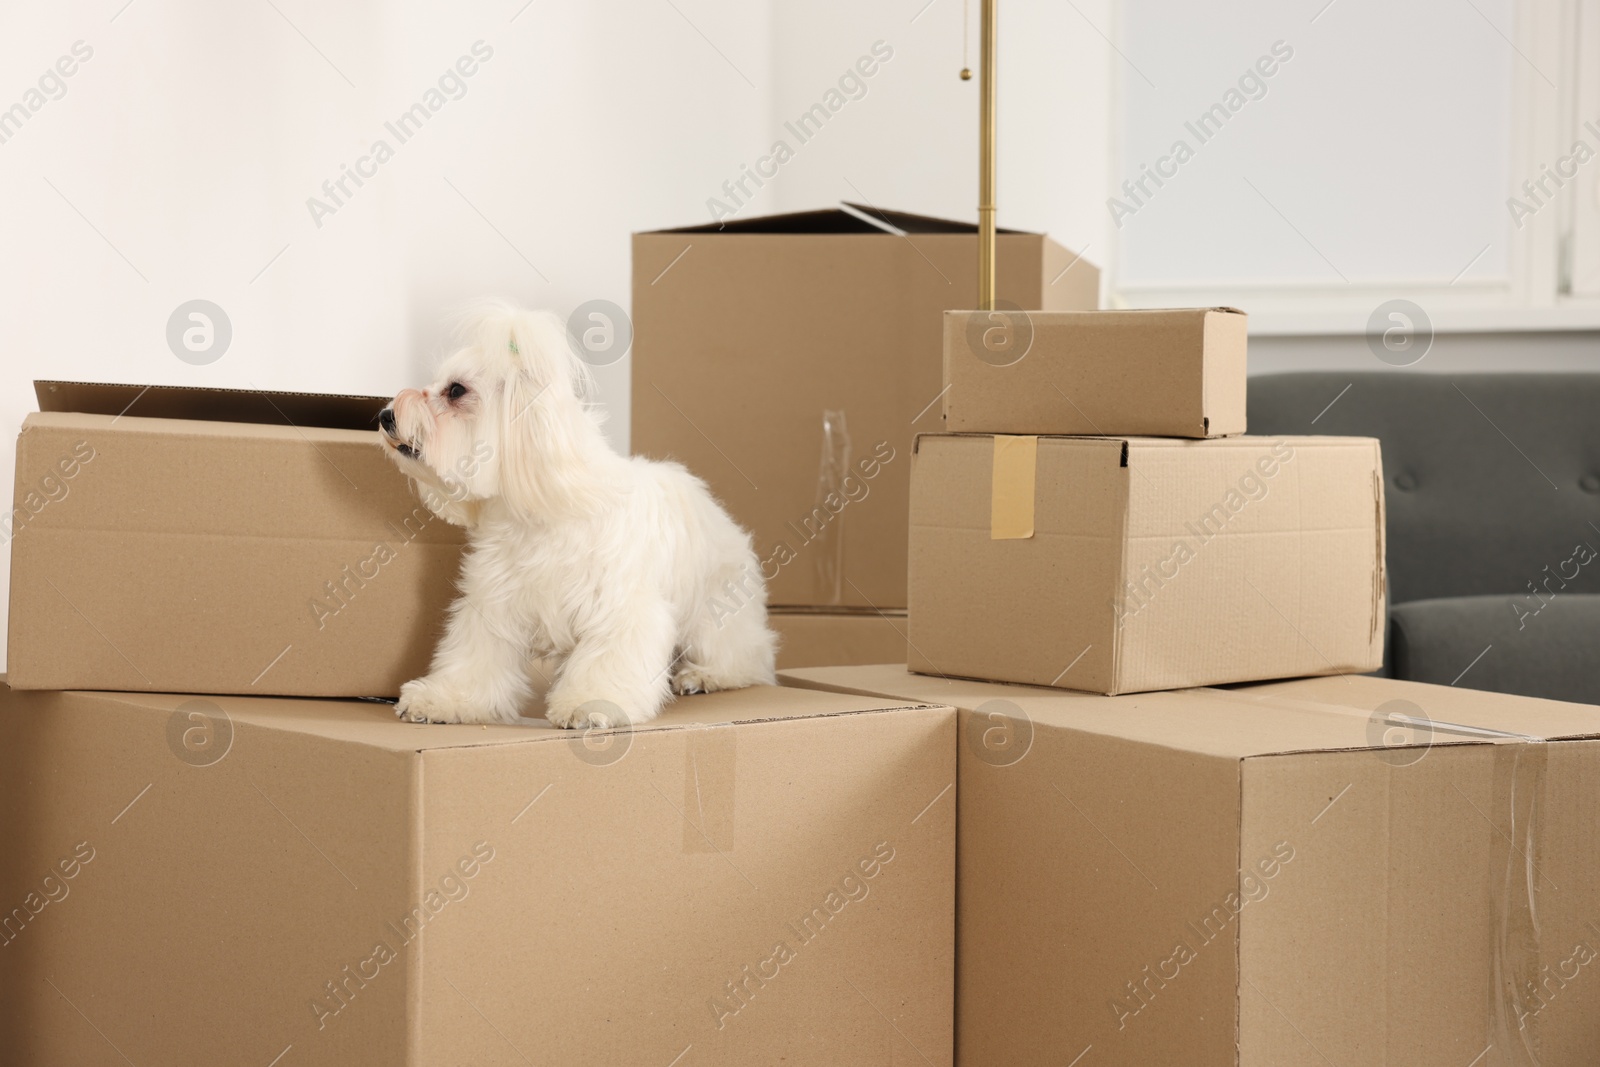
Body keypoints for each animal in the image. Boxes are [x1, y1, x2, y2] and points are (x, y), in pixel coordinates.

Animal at [376, 303, 774, 729]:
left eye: (455, 391)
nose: (384, 414)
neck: (545, 511)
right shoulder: (493, 603)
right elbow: (474, 657)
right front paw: (444, 699)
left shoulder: (621, 610)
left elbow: (606, 662)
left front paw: (589, 704)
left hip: (714, 616)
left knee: (750, 658)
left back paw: (704, 676)